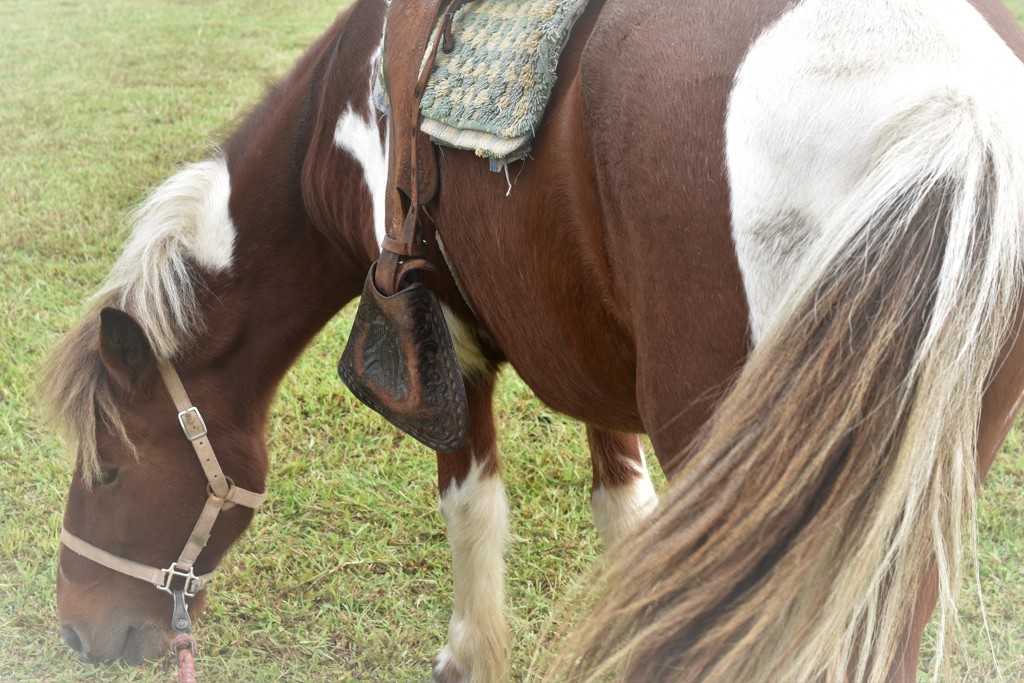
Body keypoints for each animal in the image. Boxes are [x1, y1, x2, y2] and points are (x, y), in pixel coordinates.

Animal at [41, 0, 1024, 679]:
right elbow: (628, 516)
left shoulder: (444, 342)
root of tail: (952, 99)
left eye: (110, 470)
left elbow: (472, 508)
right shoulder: (597, 357)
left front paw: (469, 657)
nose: (78, 626)